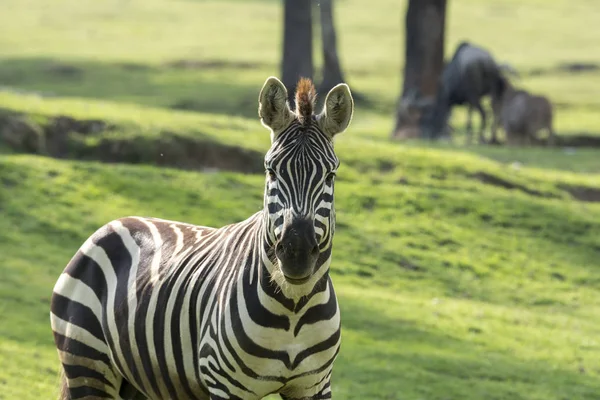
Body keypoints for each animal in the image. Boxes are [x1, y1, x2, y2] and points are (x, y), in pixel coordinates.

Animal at [51, 76, 354, 400]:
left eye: (330, 176)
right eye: (271, 171)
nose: (296, 254)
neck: (294, 309)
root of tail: (110, 225)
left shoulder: (314, 385)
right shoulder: (225, 385)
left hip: (136, 380)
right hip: (86, 362)